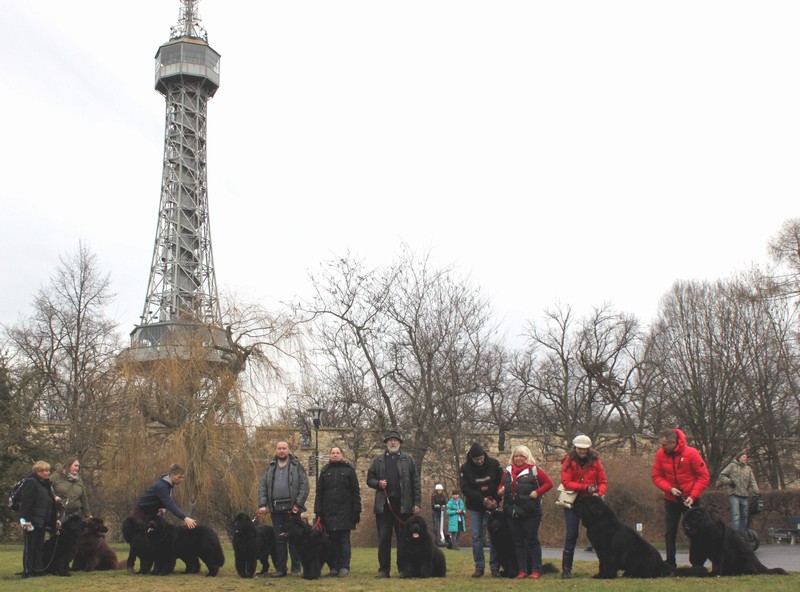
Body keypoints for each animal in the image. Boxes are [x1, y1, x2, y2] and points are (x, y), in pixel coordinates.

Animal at [576, 494, 708, 580]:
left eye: (582, 504)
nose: (574, 504)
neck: (599, 521)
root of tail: (662, 565)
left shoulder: (608, 552)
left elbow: (607, 564)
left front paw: (606, 577)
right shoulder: (600, 551)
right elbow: (601, 564)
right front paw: (599, 575)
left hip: (635, 556)